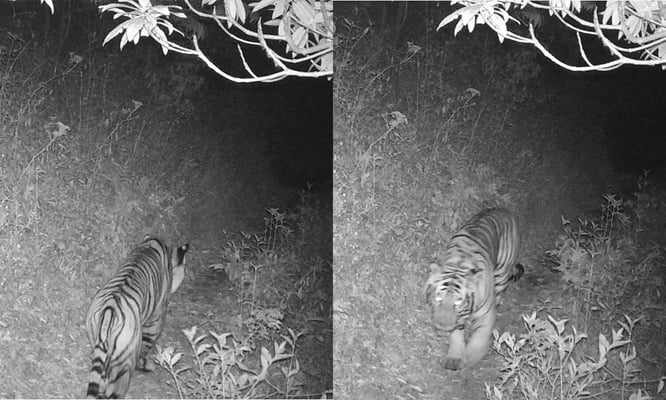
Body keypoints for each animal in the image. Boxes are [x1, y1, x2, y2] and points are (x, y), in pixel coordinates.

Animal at [85, 235, 189, 399]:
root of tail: (109, 310)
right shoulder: (156, 317)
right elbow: (147, 345)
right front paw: (147, 366)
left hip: (98, 346)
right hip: (124, 362)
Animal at [425, 207, 524, 371]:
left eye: (458, 302)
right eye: (438, 298)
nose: (442, 326)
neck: (459, 264)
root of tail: (504, 209)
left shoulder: (486, 314)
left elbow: (480, 337)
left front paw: (471, 358)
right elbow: (456, 335)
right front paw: (454, 358)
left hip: (502, 272)